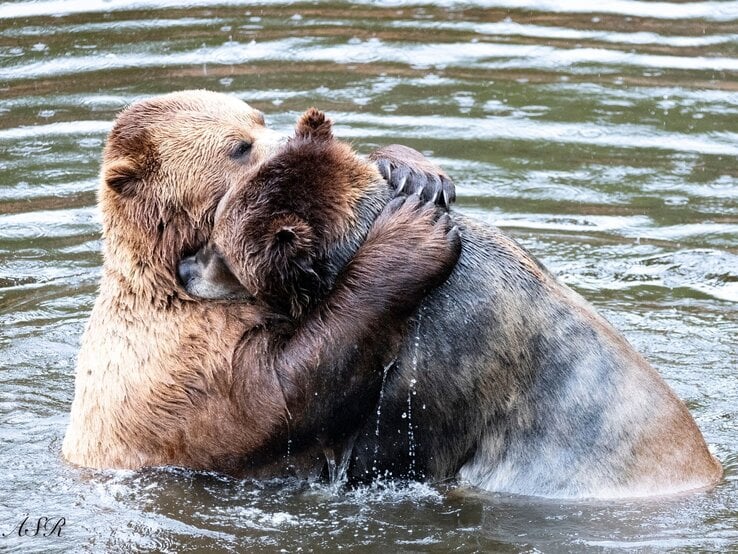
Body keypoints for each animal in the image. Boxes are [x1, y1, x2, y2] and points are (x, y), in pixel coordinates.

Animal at [60, 90, 458, 470]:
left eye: (259, 118)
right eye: (239, 146)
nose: (289, 140)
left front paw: (415, 173)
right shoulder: (187, 363)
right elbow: (283, 398)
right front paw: (412, 236)